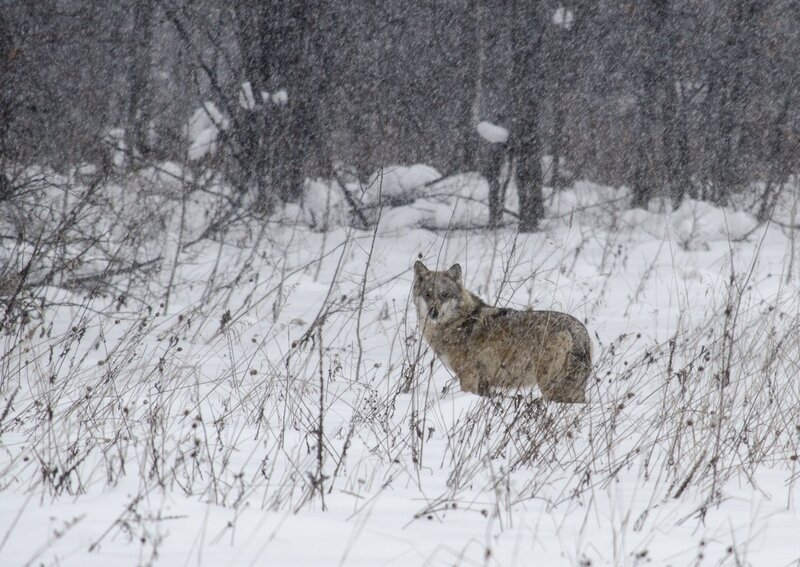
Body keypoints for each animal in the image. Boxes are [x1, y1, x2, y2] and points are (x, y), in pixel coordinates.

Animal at [416, 262, 592, 404]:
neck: (457, 322)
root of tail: (578, 330)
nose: (433, 312)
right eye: (427, 294)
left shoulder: (468, 376)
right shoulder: (484, 383)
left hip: (551, 387)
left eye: (444, 295)